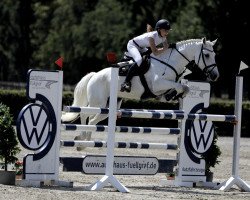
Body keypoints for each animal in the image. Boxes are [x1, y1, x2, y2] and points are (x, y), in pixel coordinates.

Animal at [61, 37, 219, 144]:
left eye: (214, 55)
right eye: (206, 55)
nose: (215, 76)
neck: (171, 62)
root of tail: (94, 75)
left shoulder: (164, 87)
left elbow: (183, 88)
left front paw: (172, 96)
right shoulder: (158, 84)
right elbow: (181, 86)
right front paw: (174, 94)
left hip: (108, 106)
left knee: (93, 119)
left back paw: (84, 140)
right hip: (97, 102)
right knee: (85, 114)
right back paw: (81, 138)